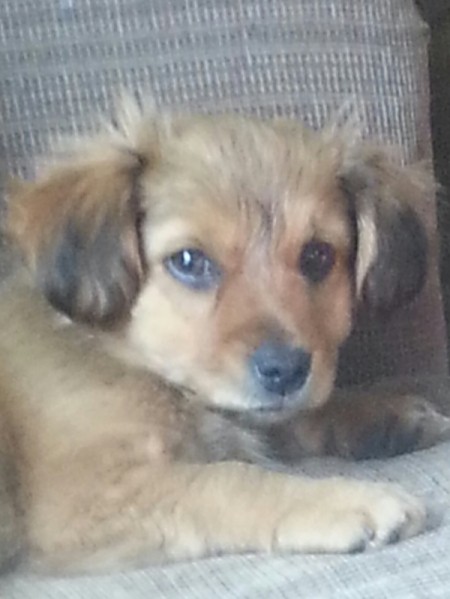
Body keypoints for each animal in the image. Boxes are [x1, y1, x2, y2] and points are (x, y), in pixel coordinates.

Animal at [0, 101, 450, 576]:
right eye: (188, 261)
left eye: (317, 255)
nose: (286, 371)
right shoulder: (88, 499)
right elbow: (229, 479)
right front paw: (344, 499)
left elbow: (295, 418)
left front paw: (384, 418)